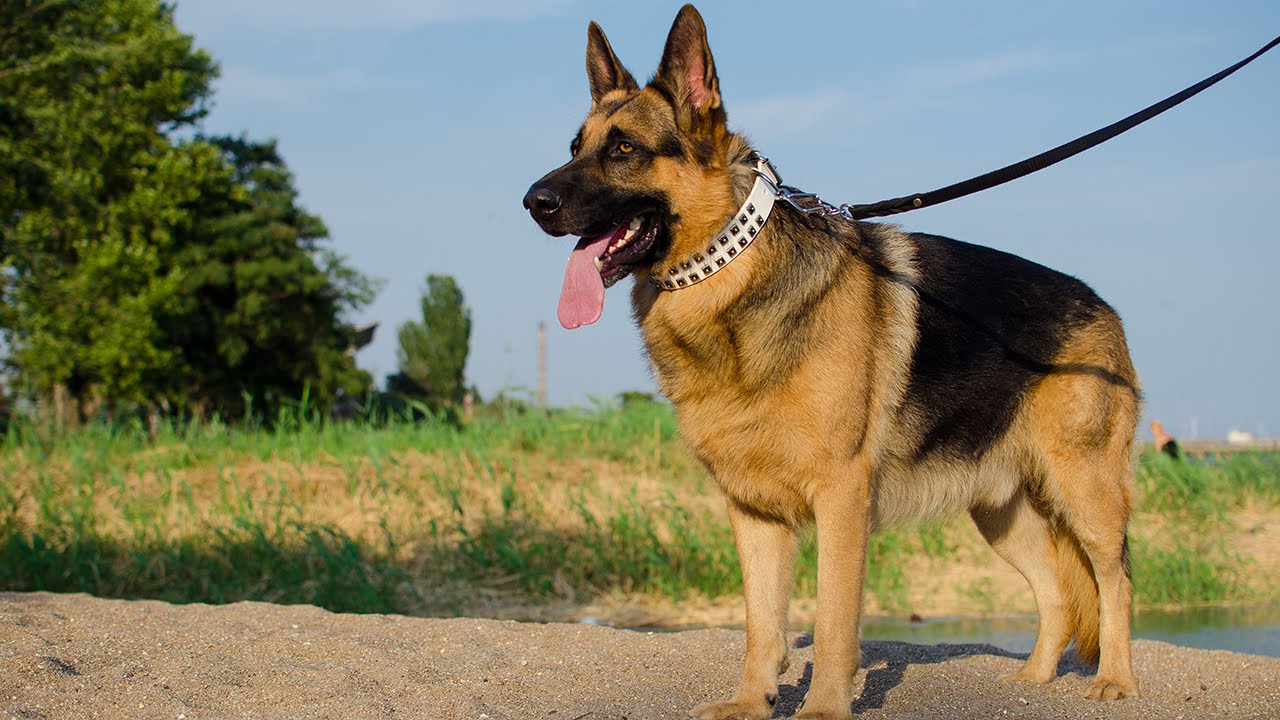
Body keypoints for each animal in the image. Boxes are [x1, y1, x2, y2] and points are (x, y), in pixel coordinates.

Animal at [519, 4, 1141, 712]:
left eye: (624, 149)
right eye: (575, 148)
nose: (532, 202)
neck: (730, 272)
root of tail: (1102, 305)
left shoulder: (841, 500)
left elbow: (834, 620)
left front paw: (821, 708)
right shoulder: (754, 511)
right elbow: (762, 623)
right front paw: (751, 702)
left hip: (1086, 494)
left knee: (1115, 579)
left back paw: (1116, 679)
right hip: (1000, 512)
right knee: (1057, 588)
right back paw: (1035, 679)